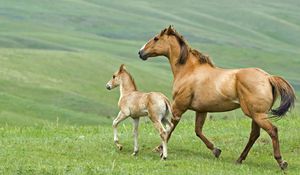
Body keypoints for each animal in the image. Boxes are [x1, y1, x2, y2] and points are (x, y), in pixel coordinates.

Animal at [138, 25, 296, 169]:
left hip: (257, 114)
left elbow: (170, 129)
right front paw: (216, 150)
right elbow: (198, 131)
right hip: (255, 114)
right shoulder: (201, 110)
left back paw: (281, 162)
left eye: (156, 38)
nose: (140, 52)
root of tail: (268, 77)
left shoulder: (178, 107)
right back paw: (239, 159)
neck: (188, 71)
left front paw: (159, 149)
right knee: (254, 134)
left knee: (272, 130)